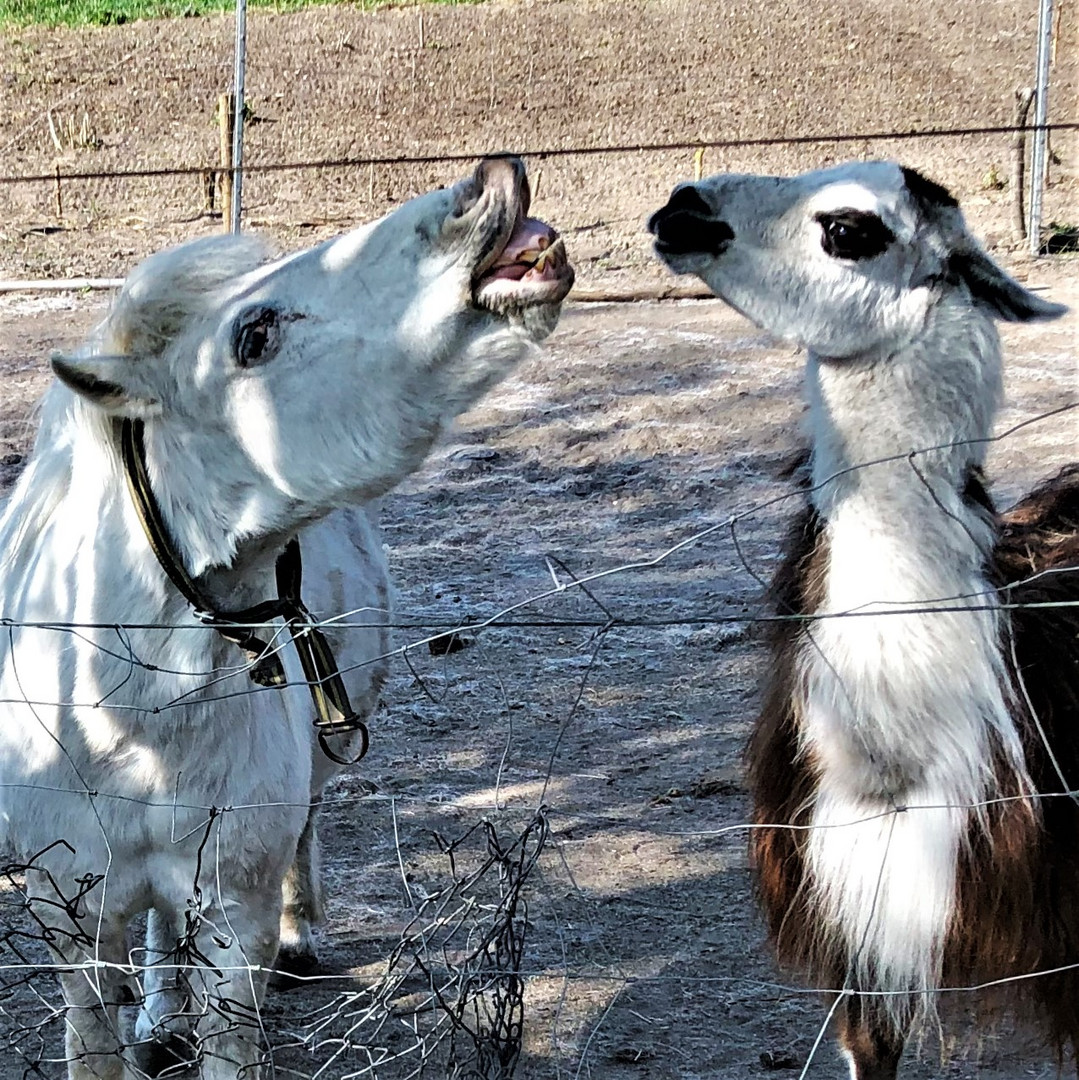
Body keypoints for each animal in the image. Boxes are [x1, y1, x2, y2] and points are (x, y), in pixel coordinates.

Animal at [0, 154, 574, 1080]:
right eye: (254, 334)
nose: (489, 186)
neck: (116, 711)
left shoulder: (235, 915)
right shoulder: (73, 917)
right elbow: (95, 1038)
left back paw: (298, 940)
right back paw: (160, 1019)